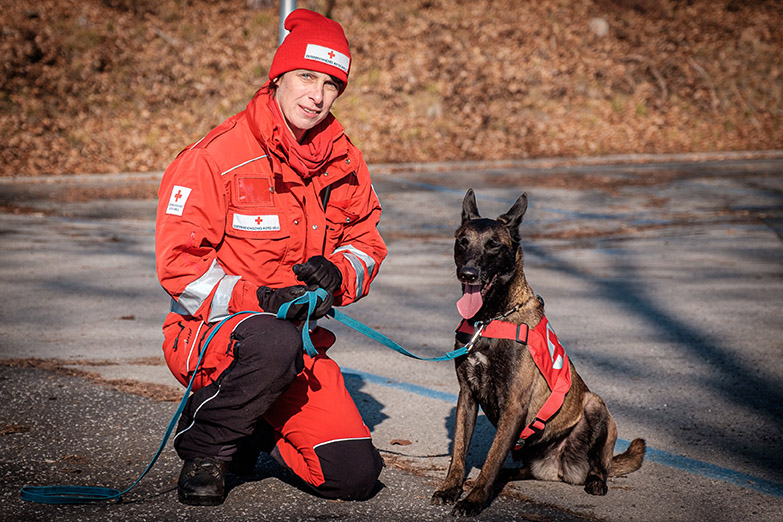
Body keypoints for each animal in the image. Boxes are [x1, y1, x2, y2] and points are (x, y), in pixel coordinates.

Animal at [432, 189, 648, 512]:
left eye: (494, 245)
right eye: (463, 241)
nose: (468, 274)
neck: (491, 318)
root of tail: (560, 468)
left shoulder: (513, 407)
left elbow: (491, 458)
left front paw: (474, 499)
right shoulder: (467, 397)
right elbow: (459, 452)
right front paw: (450, 489)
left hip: (596, 405)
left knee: (602, 464)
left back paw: (596, 480)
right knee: (520, 469)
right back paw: (508, 475)